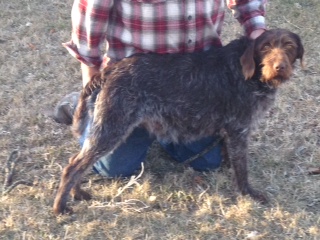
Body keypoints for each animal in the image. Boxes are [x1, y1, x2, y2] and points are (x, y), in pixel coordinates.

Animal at [52, 29, 302, 215]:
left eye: (289, 47)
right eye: (265, 47)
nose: (279, 67)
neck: (248, 73)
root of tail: (112, 69)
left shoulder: (231, 132)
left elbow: (229, 156)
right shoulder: (239, 130)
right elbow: (242, 168)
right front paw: (247, 192)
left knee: (77, 160)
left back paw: (77, 193)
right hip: (112, 127)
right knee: (74, 165)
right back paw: (61, 206)